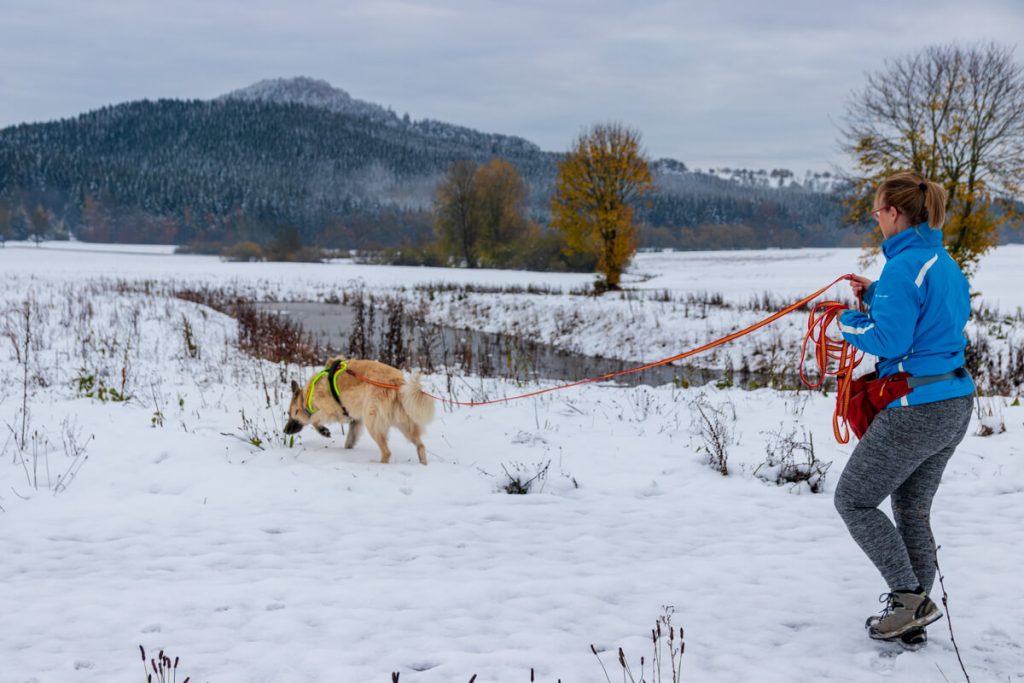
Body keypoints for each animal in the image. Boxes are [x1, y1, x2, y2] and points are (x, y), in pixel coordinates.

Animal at [284, 358, 436, 464]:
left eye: (290, 414)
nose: (284, 431)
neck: (306, 398)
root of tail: (397, 383)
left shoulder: (329, 409)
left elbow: (313, 419)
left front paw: (323, 431)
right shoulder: (355, 422)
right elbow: (349, 440)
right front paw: (347, 450)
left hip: (372, 424)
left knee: (387, 452)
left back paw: (379, 464)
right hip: (405, 426)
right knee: (421, 445)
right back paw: (423, 464)